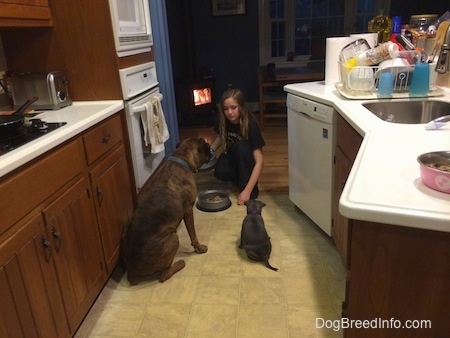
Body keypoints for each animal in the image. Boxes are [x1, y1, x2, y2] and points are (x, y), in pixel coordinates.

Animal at [122, 139, 212, 284]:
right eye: (207, 147)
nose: (211, 151)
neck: (181, 158)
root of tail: (131, 271)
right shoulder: (188, 210)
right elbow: (193, 234)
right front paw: (199, 248)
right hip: (173, 238)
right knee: (163, 276)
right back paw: (180, 263)